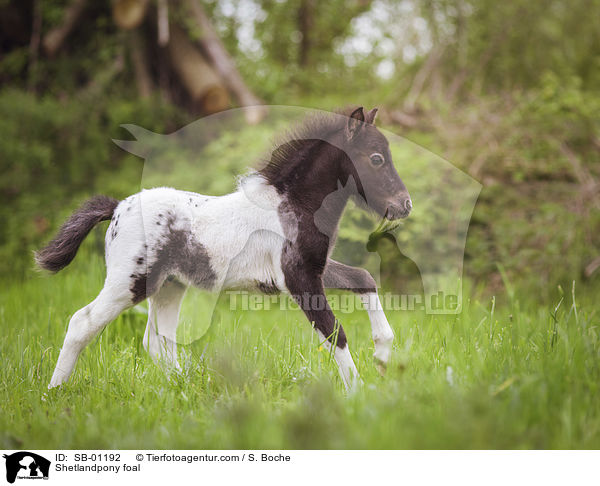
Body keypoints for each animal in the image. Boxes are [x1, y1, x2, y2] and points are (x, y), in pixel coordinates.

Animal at [37, 107, 412, 392]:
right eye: (376, 158)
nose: (405, 205)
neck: (291, 205)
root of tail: (116, 208)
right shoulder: (298, 278)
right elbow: (335, 331)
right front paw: (357, 393)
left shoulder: (315, 268)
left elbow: (363, 277)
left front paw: (382, 358)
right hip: (128, 283)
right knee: (82, 323)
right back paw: (53, 393)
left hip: (169, 286)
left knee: (158, 341)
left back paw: (187, 388)